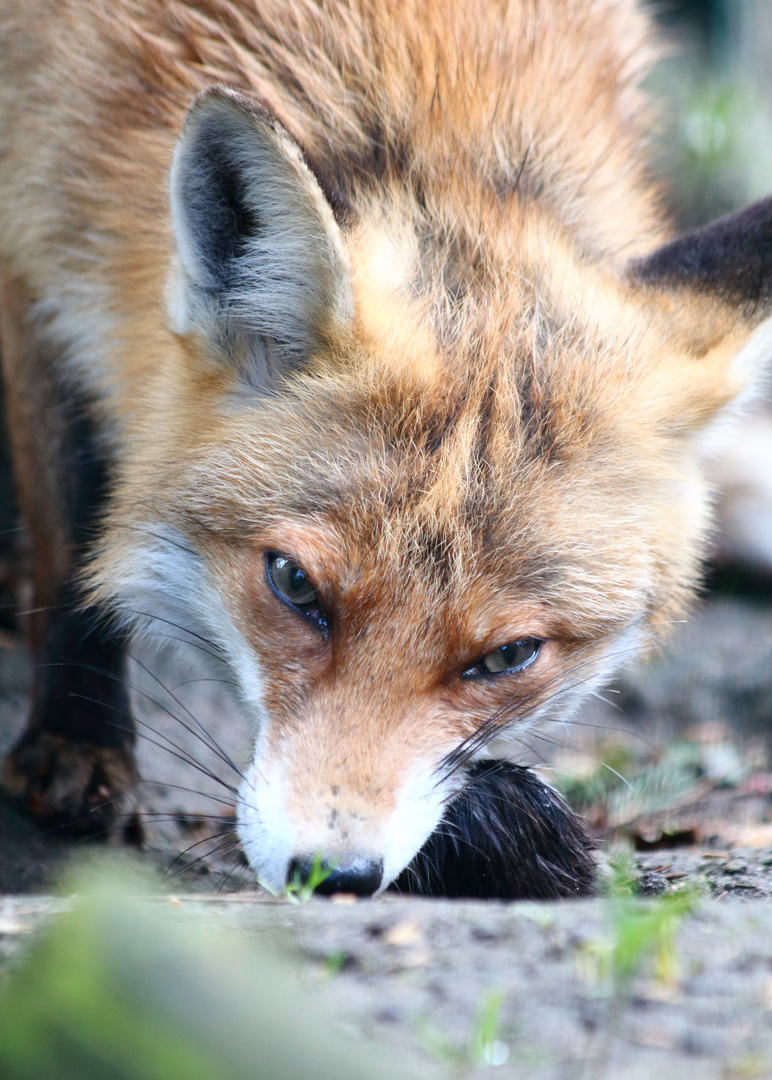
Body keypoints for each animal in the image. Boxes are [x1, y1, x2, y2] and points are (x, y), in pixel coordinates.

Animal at [1, 0, 772, 894]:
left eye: (510, 655)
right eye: (295, 585)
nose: (331, 875)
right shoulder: (33, 229)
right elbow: (72, 524)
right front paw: (76, 745)